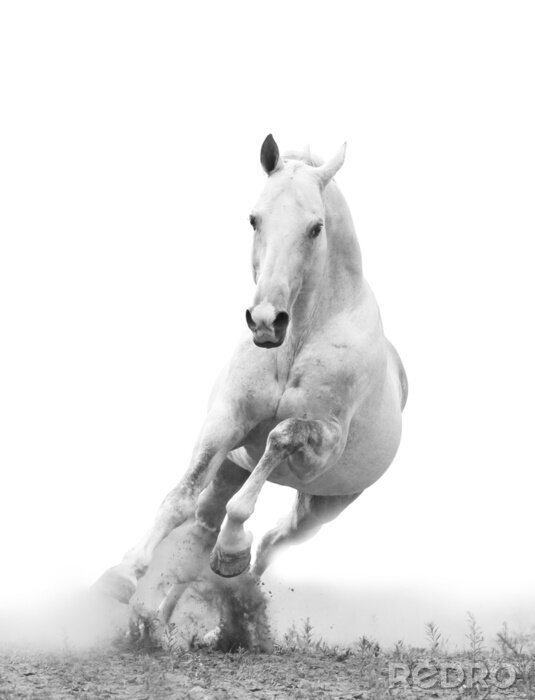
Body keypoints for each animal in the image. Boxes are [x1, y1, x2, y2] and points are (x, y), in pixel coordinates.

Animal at [95, 134, 408, 619]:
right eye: (254, 219)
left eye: (316, 227)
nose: (265, 321)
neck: (296, 341)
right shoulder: (227, 420)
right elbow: (179, 497)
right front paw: (122, 575)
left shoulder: (322, 445)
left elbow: (279, 438)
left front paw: (231, 549)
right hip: (231, 472)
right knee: (202, 530)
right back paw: (163, 620)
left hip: (321, 507)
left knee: (271, 546)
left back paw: (232, 586)